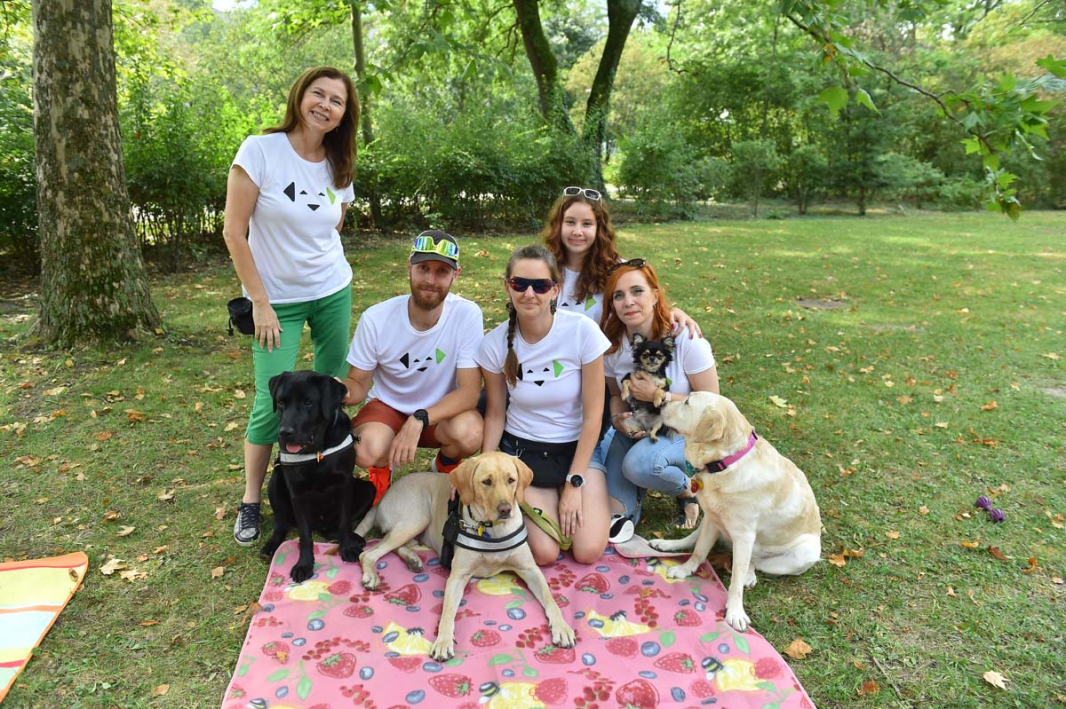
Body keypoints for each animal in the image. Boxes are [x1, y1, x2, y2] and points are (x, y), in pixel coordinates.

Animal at [259, 371, 377, 583]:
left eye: (308, 402)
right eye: (280, 402)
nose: (285, 432)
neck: (317, 452)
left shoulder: (345, 483)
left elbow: (344, 521)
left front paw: (347, 548)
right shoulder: (297, 493)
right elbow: (305, 535)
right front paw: (304, 565)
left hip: (368, 489)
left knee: (332, 527)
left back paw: (353, 538)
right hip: (275, 482)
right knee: (281, 524)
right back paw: (271, 546)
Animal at [355, 452, 575, 661]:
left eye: (511, 480)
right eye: (486, 482)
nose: (505, 510)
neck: (492, 530)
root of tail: (385, 495)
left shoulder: (530, 570)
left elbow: (551, 600)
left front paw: (562, 628)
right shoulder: (457, 577)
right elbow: (447, 612)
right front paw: (443, 642)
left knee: (394, 545)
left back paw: (413, 559)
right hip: (416, 518)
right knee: (369, 553)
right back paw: (372, 576)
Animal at [650, 391, 822, 632]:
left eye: (687, 402)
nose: (661, 403)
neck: (726, 463)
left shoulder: (744, 536)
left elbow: (736, 581)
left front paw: (735, 612)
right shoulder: (712, 520)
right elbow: (699, 551)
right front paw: (685, 570)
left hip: (802, 555)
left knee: (754, 562)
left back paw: (750, 574)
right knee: (692, 539)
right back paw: (665, 544)